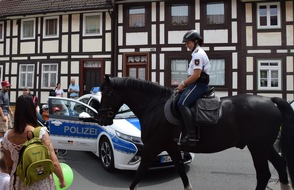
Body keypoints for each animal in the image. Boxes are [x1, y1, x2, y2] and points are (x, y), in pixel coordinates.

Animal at [97, 75, 294, 190]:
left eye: (107, 93)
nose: (102, 119)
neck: (154, 107)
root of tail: (270, 101)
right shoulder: (171, 147)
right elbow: (181, 172)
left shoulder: (151, 148)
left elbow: (137, 176)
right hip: (264, 146)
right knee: (280, 165)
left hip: (257, 147)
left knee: (264, 174)